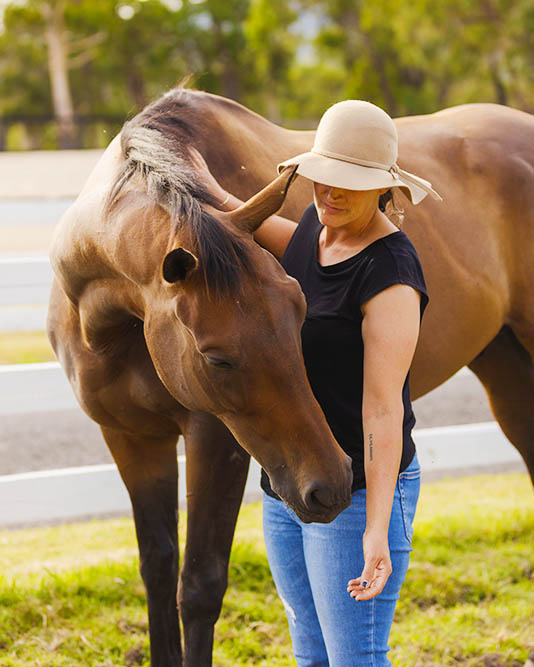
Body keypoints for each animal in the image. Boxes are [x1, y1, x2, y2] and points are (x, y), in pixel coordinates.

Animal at [47, 87, 534, 666]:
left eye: (301, 312)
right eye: (216, 358)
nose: (335, 484)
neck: (113, 325)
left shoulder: (216, 441)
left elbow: (200, 586)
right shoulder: (131, 439)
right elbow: (159, 573)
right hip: (504, 365)